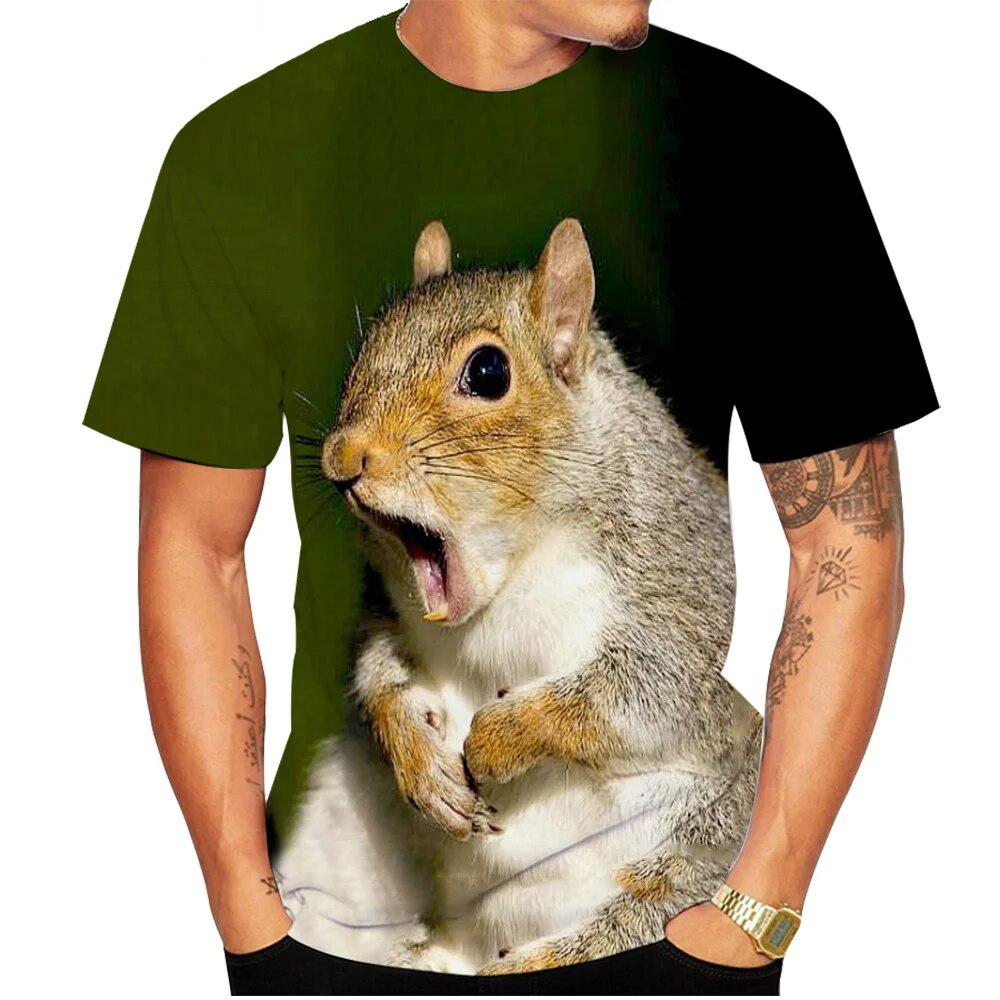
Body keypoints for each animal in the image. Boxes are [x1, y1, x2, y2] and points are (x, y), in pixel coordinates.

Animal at [275, 219, 761, 975]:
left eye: (487, 373)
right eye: (366, 348)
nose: (343, 457)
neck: (508, 577)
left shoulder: (692, 599)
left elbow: (640, 695)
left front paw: (499, 740)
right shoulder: (387, 610)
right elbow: (379, 674)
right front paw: (422, 761)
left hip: (698, 855)